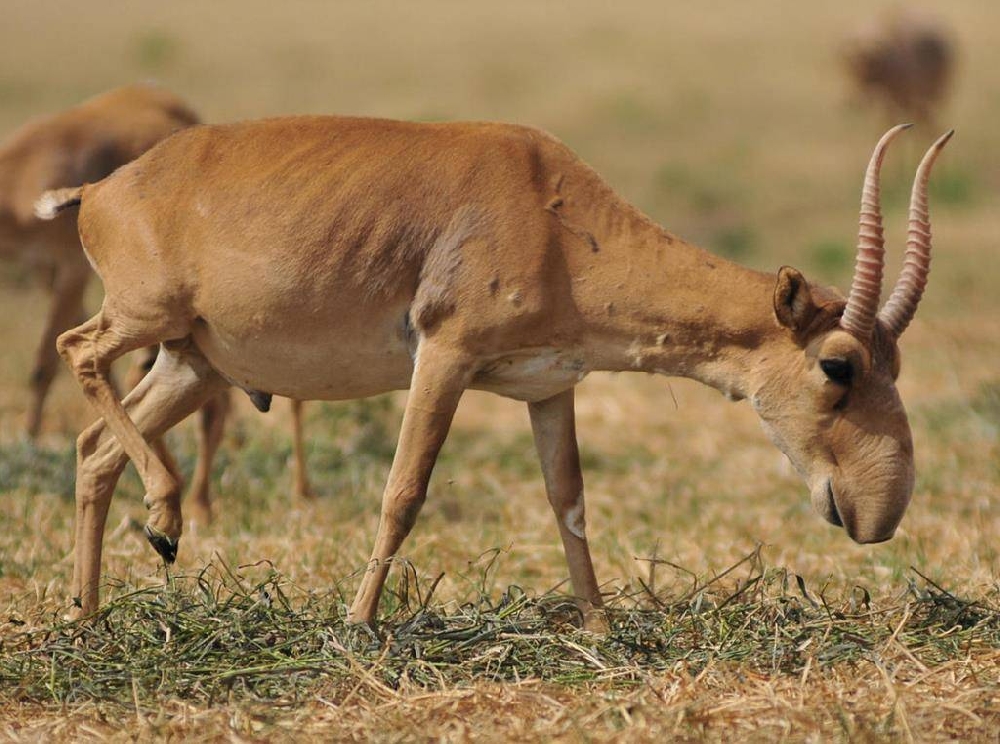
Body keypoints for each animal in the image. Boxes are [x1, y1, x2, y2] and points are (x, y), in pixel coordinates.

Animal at [35, 117, 948, 628]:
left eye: (896, 361)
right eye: (839, 364)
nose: (878, 512)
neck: (552, 208)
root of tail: (102, 189)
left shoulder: (548, 387)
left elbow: (569, 503)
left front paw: (600, 627)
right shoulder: (444, 357)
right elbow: (403, 490)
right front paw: (359, 625)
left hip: (192, 363)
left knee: (92, 451)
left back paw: (88, 614)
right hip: (145, 322)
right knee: (77, 352)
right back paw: (163, 518)